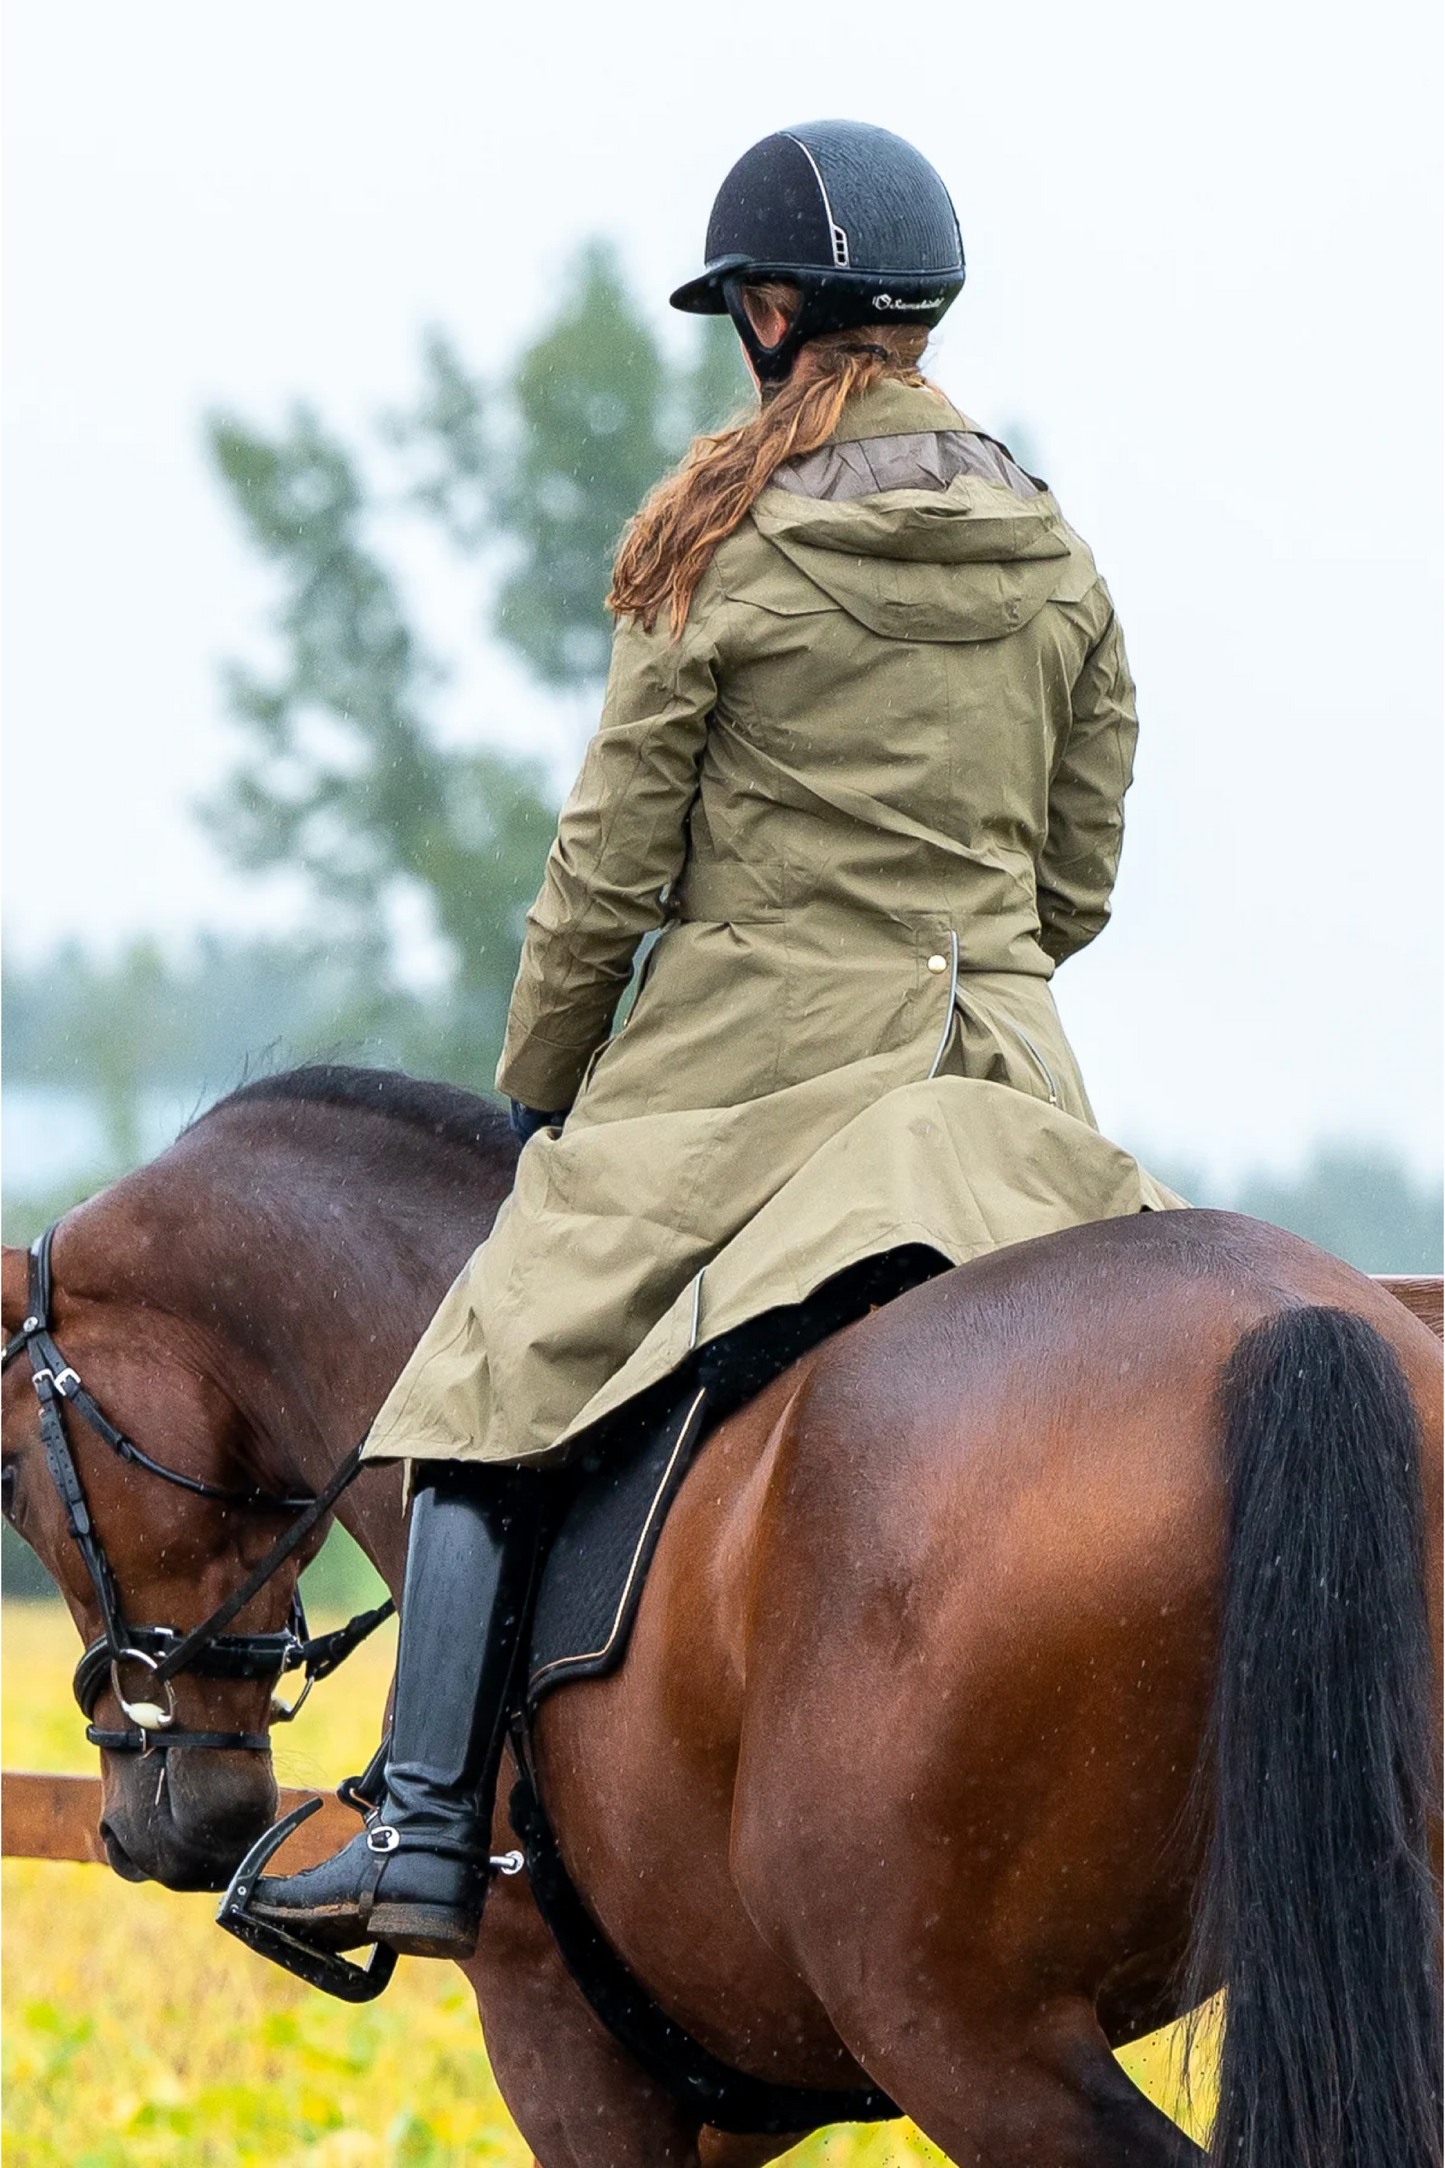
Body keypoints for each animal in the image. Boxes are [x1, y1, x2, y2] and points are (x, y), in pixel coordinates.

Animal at [5, 1070, 1438, 2168]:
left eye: (11, 1476)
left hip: (963, 2036)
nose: (162, 1823)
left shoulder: (565, 2053)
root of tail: (1284, 1319)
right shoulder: (740, 2089)